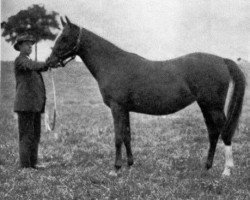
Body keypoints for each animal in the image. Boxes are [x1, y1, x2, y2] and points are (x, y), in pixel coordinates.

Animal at [46, 17, 245, 177]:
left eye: (64, 37)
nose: (48, 62)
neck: (113, 64)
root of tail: (221, 60)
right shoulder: (124, 109)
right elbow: (127, 135)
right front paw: (130, 164)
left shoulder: (117, 107)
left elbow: (118, 137)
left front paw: (115, 169)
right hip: (205, 106)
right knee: (213, 133)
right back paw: (207, 166)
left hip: (213, 107)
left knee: (224, 131)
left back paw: (227, 170)